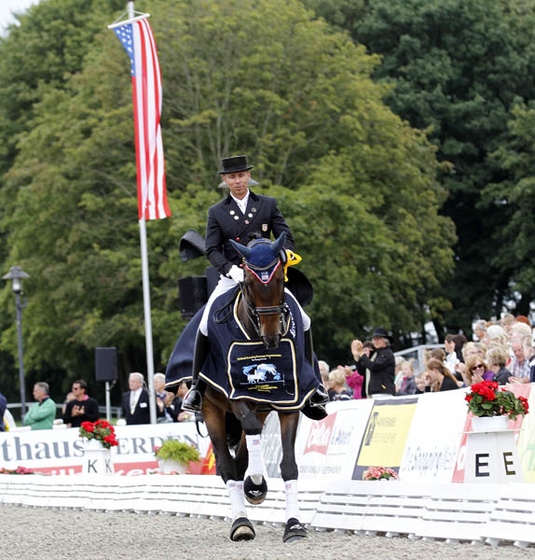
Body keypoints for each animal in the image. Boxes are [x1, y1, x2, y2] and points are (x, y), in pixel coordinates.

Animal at [201, 233, 310, 544]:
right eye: (248, 282)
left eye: (282, 280)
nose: (272, 336)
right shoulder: (236, 395)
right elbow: (248, 432)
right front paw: (257, 483)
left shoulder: (290, 402)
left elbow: (289, 466)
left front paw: (294, 525)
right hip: (211, 408)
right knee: (228, 466)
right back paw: (241, 522)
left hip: (260, 409)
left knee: (241, 458)